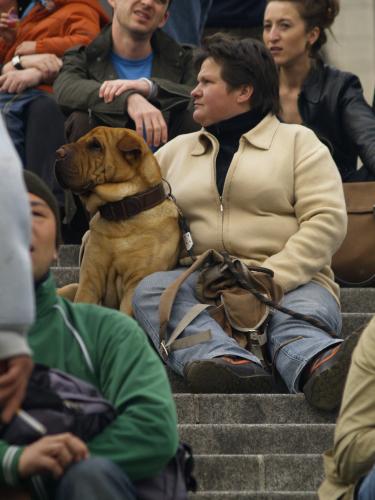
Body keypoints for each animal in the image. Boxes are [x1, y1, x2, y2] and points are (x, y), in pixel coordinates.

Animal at [55, 126, 182, 312]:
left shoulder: (135, 283)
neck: (120, 214)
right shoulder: (90, 279)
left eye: (95, 145)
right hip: (70, 287)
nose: (58, 153)